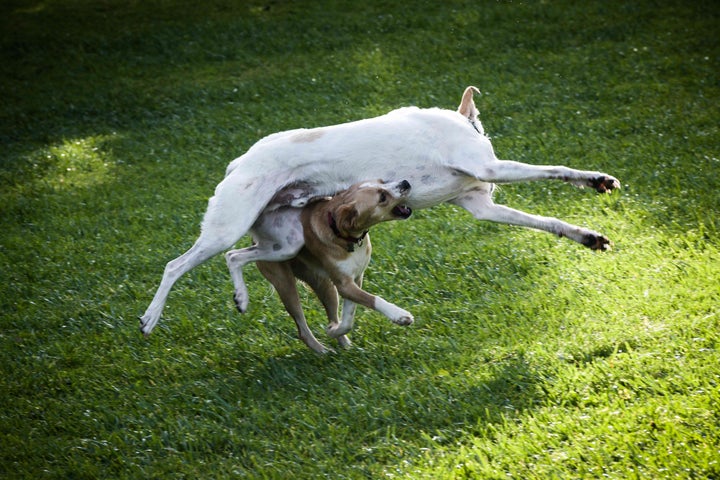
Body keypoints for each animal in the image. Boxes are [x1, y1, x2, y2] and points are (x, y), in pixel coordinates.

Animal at [255, 180, 414, 352]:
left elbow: (348, 318)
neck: (347, 238)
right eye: (382, 197)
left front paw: (333, 330)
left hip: (324, 286)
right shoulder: (344, 285)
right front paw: (399, 315)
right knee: (302, 328)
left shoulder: (355, 279)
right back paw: (322, 351)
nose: (405, 182)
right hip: (285, 284)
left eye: (381, 181)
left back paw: (343, 342)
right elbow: (373, 299)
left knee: (332, 315)